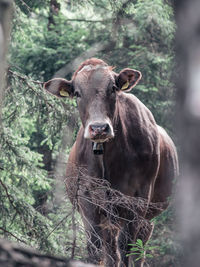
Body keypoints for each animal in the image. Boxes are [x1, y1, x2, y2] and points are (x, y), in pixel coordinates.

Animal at [44, 59, 178, 267]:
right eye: (77, 93)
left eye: (113, 88)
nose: (99, 128)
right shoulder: (87, 198)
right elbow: (96, 247)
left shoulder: (138, 197)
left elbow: (126, 247)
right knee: (109, 249)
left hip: (146, 217)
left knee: (137, 249)